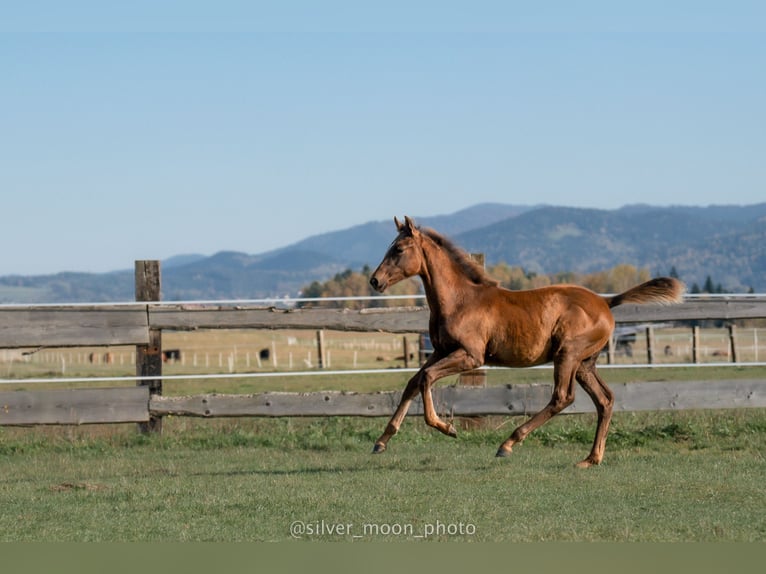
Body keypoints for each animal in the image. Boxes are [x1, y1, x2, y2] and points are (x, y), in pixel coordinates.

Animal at [368, 216, 688, 468]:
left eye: (398, 249)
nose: (374, 281)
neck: (461, 300)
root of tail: (606, 303)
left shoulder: (471, 356)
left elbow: (427, 379)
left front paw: (446, 428)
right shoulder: (441, 350)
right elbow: (414, 381)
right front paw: (382, 441)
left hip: (567, 355)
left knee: (562, 397)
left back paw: (508, 444)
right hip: (585, 363)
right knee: (605, 400)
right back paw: (590, 459)